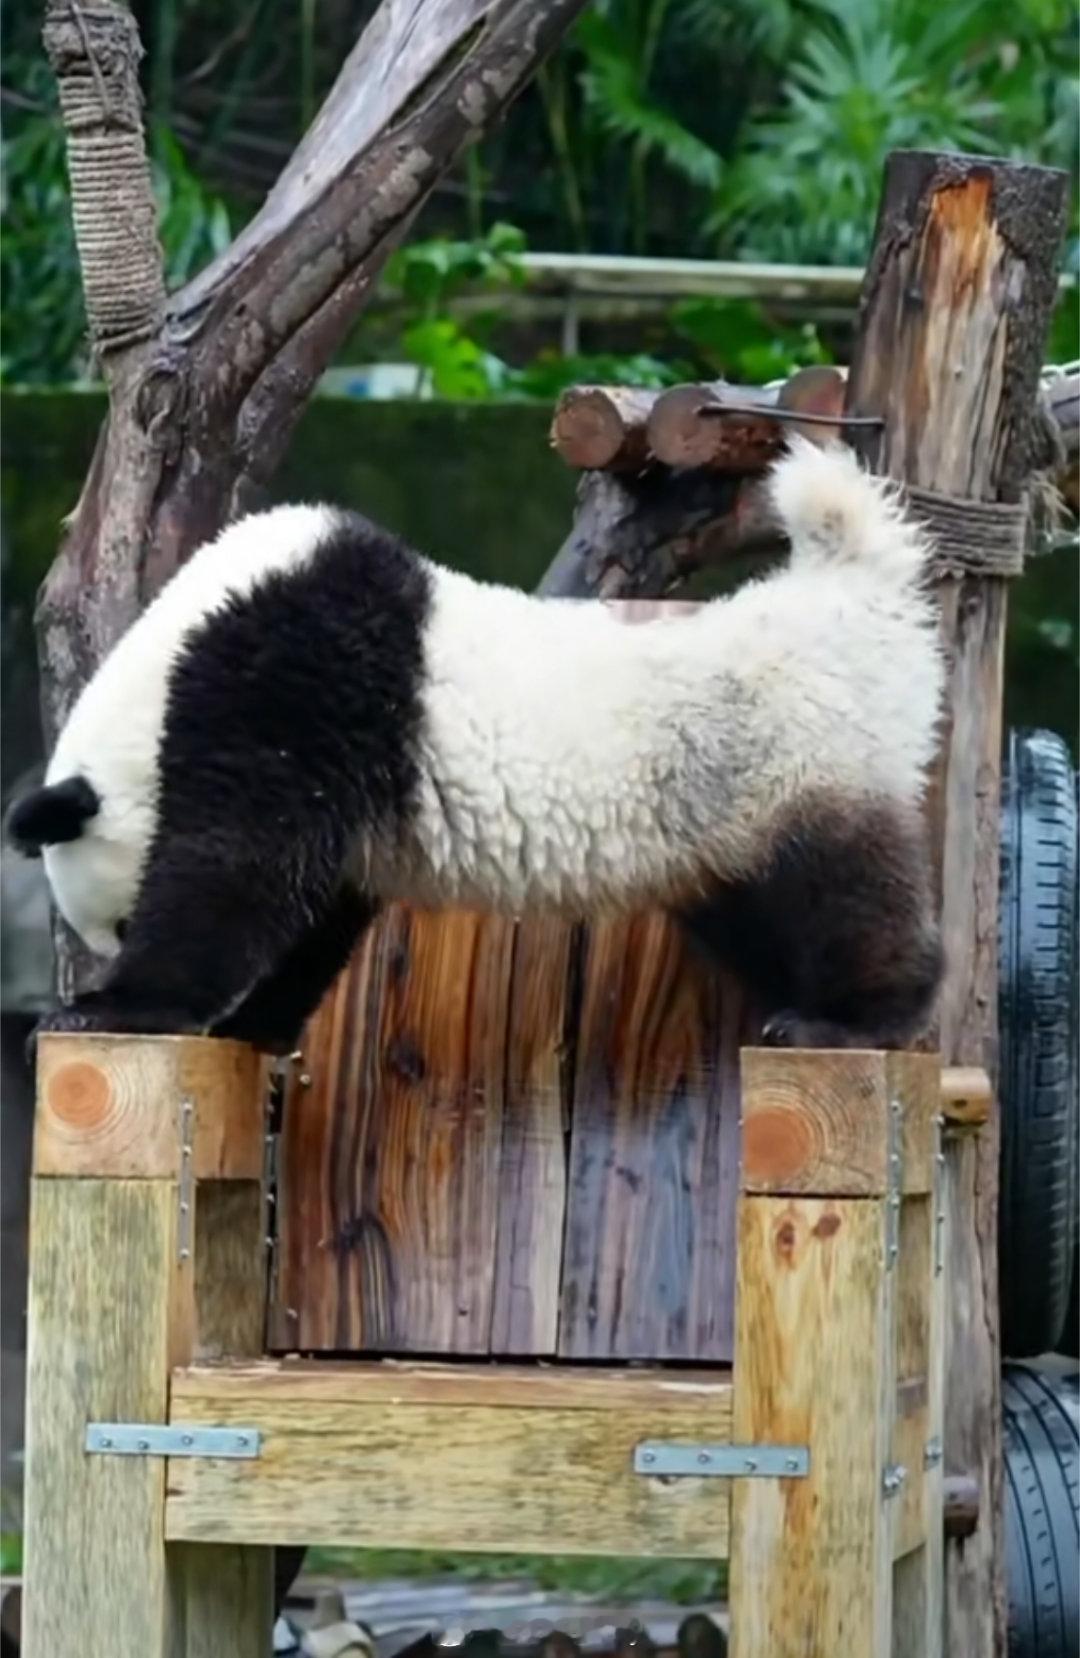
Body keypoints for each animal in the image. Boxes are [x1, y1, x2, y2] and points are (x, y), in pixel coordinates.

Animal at [4, 441, 942, 1047]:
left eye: (119, 920)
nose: (109, 950)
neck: (167, 658)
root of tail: (854, 600)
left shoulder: (284, 683)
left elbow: (232, 865)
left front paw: (117, 1005)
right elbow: (315, 903)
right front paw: (254, 1023)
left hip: (805, 752)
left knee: (844, 889)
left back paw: (855, 1020)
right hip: (725, 819)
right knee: (759, 903)